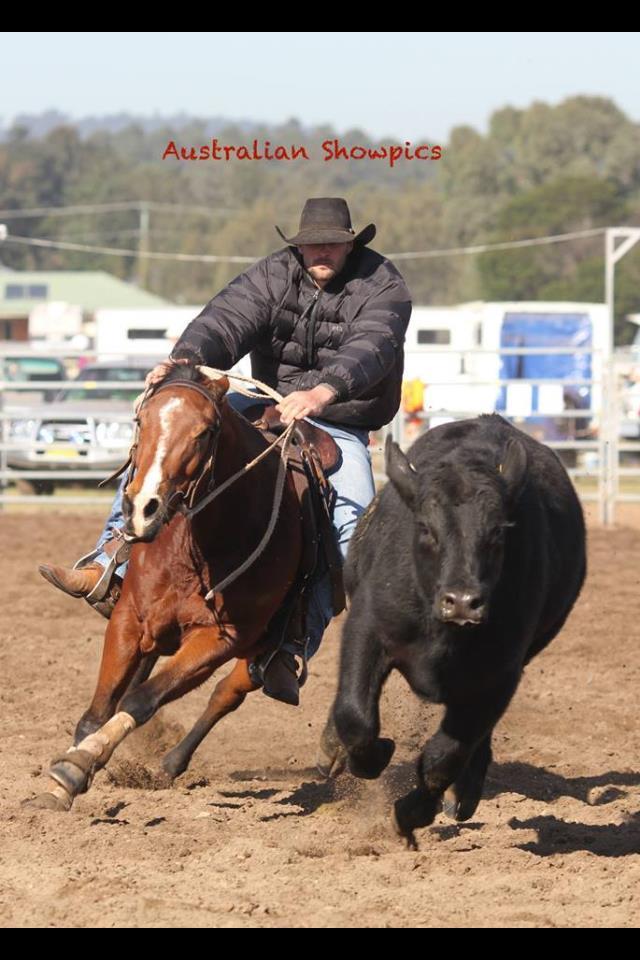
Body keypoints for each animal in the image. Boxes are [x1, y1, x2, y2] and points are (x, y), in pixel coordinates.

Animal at [25, 364, 307, 811]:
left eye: (206, 431)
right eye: (141, 420)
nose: (142, 510)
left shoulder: (219, 640)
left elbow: (141, 700)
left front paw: (78, 765)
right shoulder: (129, 618)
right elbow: (99, 709)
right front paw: (60, 785)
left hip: (259, 648)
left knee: (227, 692)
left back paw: (172, 763)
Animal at [318, 414, 586, 847]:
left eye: (497, 532)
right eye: (426, 528)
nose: (462, 601)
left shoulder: (499, 674)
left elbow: (446, 755)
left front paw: (411, 814)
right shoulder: (368, 628)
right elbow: (356, 716)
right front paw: (373, 754)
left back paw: (466, 793)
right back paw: (332, 750)